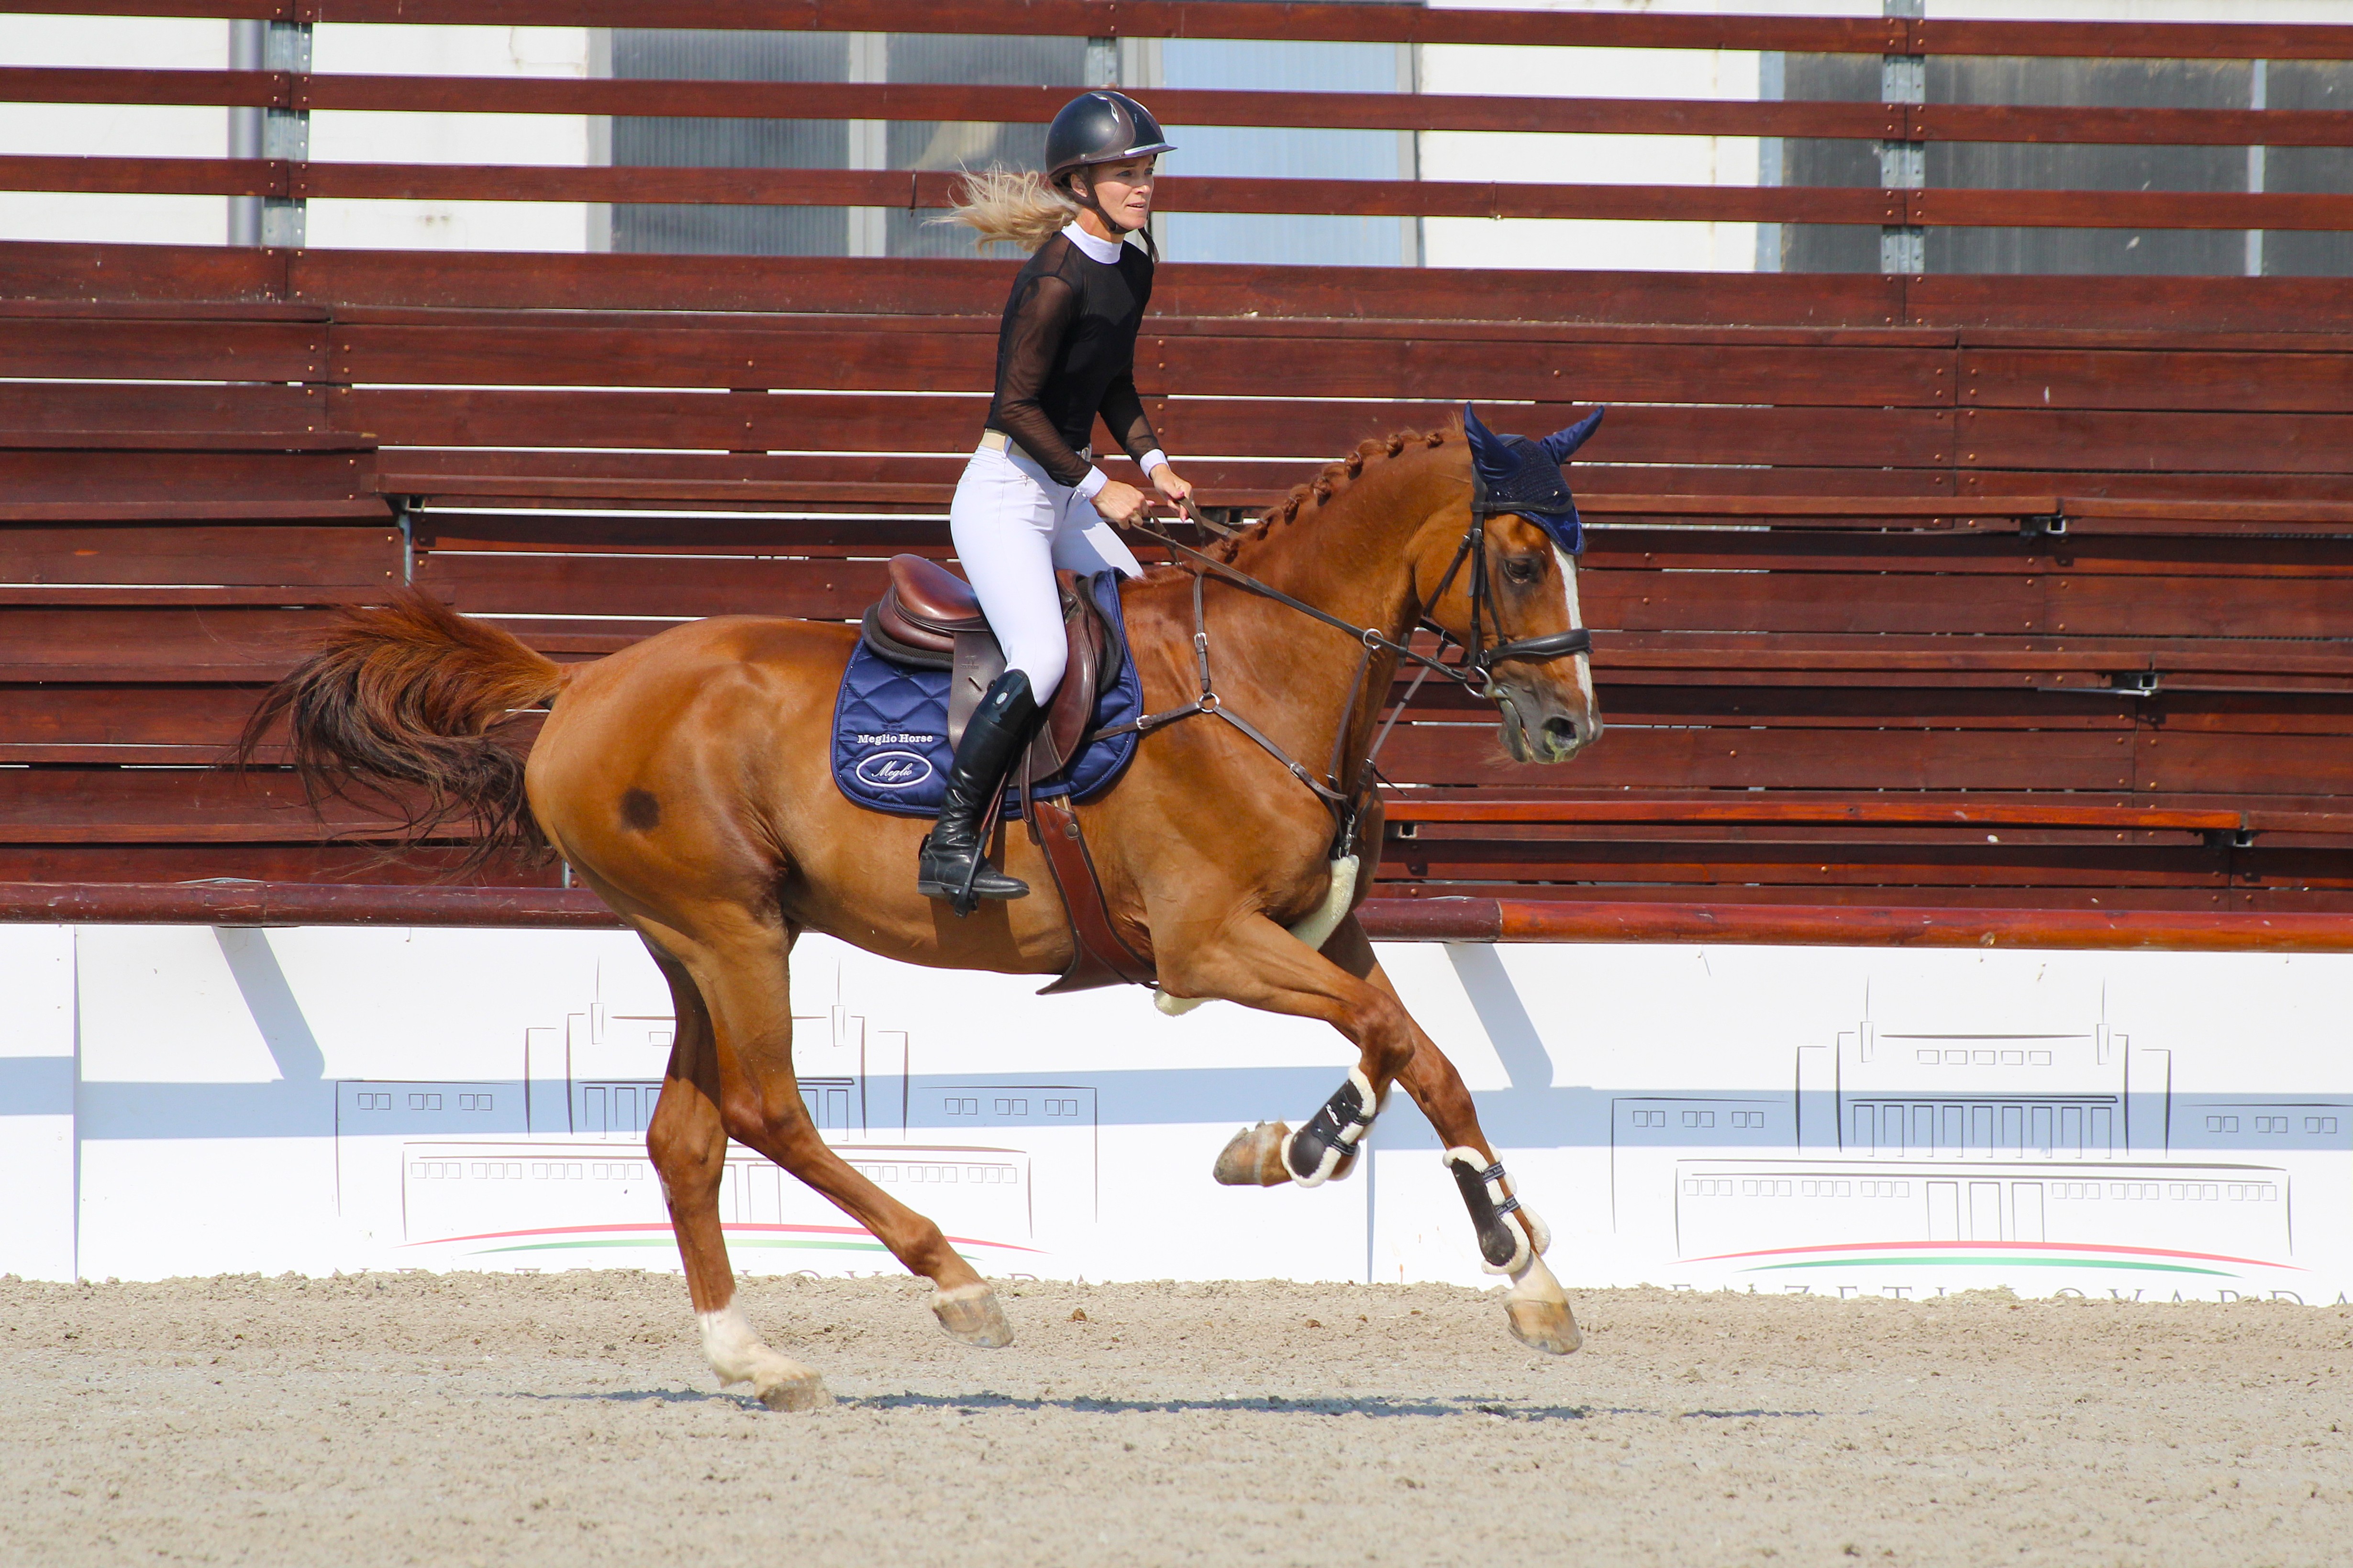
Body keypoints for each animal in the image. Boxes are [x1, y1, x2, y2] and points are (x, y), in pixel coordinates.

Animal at [247, 417, 1604, 1411]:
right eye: (1520, 559)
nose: (1566, 728)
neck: (1265, 673)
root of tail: (584, 680)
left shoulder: (1320, 930)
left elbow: (1418, 1054)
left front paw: (1506, 1260)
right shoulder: (1208, 944)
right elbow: (1389, 1040)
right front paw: (1338, 1168)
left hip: (701, 942)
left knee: (687, 1138)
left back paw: (754, 1358)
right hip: (732, 932)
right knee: (768, 1112)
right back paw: (954, 1281)